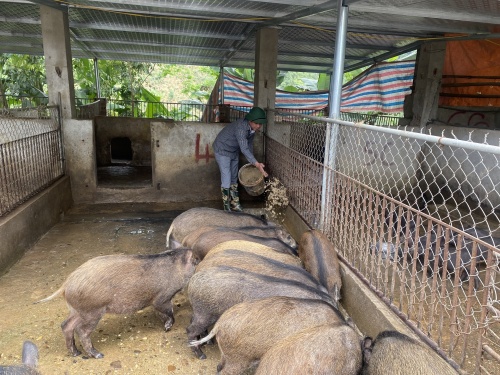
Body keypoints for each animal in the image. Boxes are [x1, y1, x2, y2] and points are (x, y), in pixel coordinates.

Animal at [35, 248, 198, 360]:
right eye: (195, 260)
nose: (198, 259)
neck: (177, 267)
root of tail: (66, 284)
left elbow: (161, 313)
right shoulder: (162, 298)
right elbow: (169, 312)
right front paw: (168, 328)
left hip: (77, 311)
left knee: (66, 325)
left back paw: (75, 353)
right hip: (93, 311)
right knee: (81, 331)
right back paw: (98, 355)